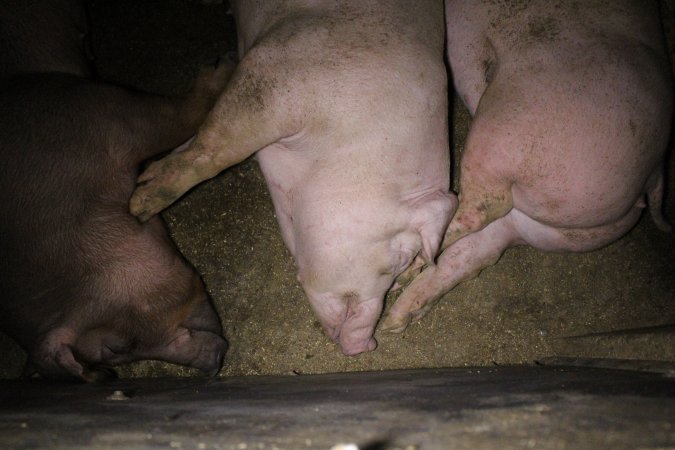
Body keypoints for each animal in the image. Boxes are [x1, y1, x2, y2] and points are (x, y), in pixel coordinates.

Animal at [129, 0, 456, 358]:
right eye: (400, 259)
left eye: (403, 271)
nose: (365, 344)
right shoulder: (271, 77)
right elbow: (214, 150)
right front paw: (138, 205)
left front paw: (143, 181)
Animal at [382, 0, 672, 330]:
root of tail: (653, 173)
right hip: (555, 224)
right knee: (478, 250)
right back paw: (395, 318)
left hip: (507, 131)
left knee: (478, 211)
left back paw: (406, 273)